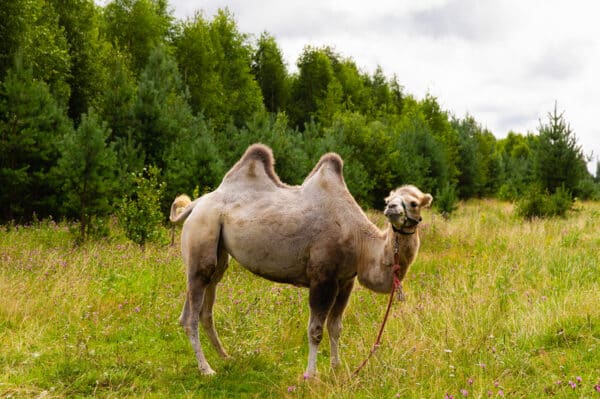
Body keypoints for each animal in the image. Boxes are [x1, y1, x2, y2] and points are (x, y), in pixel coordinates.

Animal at [169, 145, 432, 378]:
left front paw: (337, 368)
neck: (360, 243)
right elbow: (316, 331)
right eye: (389, 199)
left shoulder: (346, 281)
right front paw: (310, 374)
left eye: (414, 203)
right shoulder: (322, 277)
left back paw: (224, 356)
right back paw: (206, 369)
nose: (391, 209)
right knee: (192, 312)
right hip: (202, 231)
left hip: (217, 250)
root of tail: (195, 204)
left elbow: (336, 327)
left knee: (203, 303)